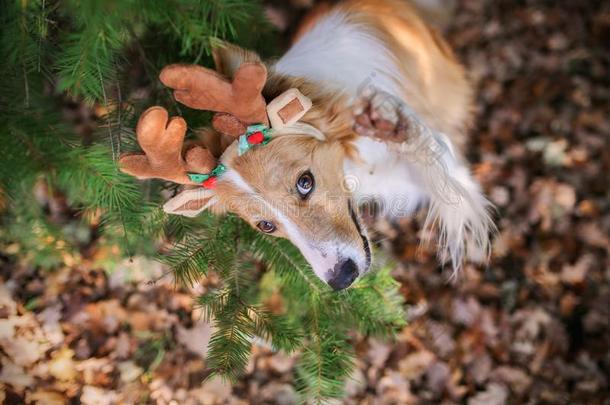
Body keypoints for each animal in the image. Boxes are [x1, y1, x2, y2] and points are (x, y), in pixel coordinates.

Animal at [120, 0, 494, 290]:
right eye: (265, 226)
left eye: (305, 183)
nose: (341, 280)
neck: (354, 162)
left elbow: (432, 153)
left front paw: (392, 126)